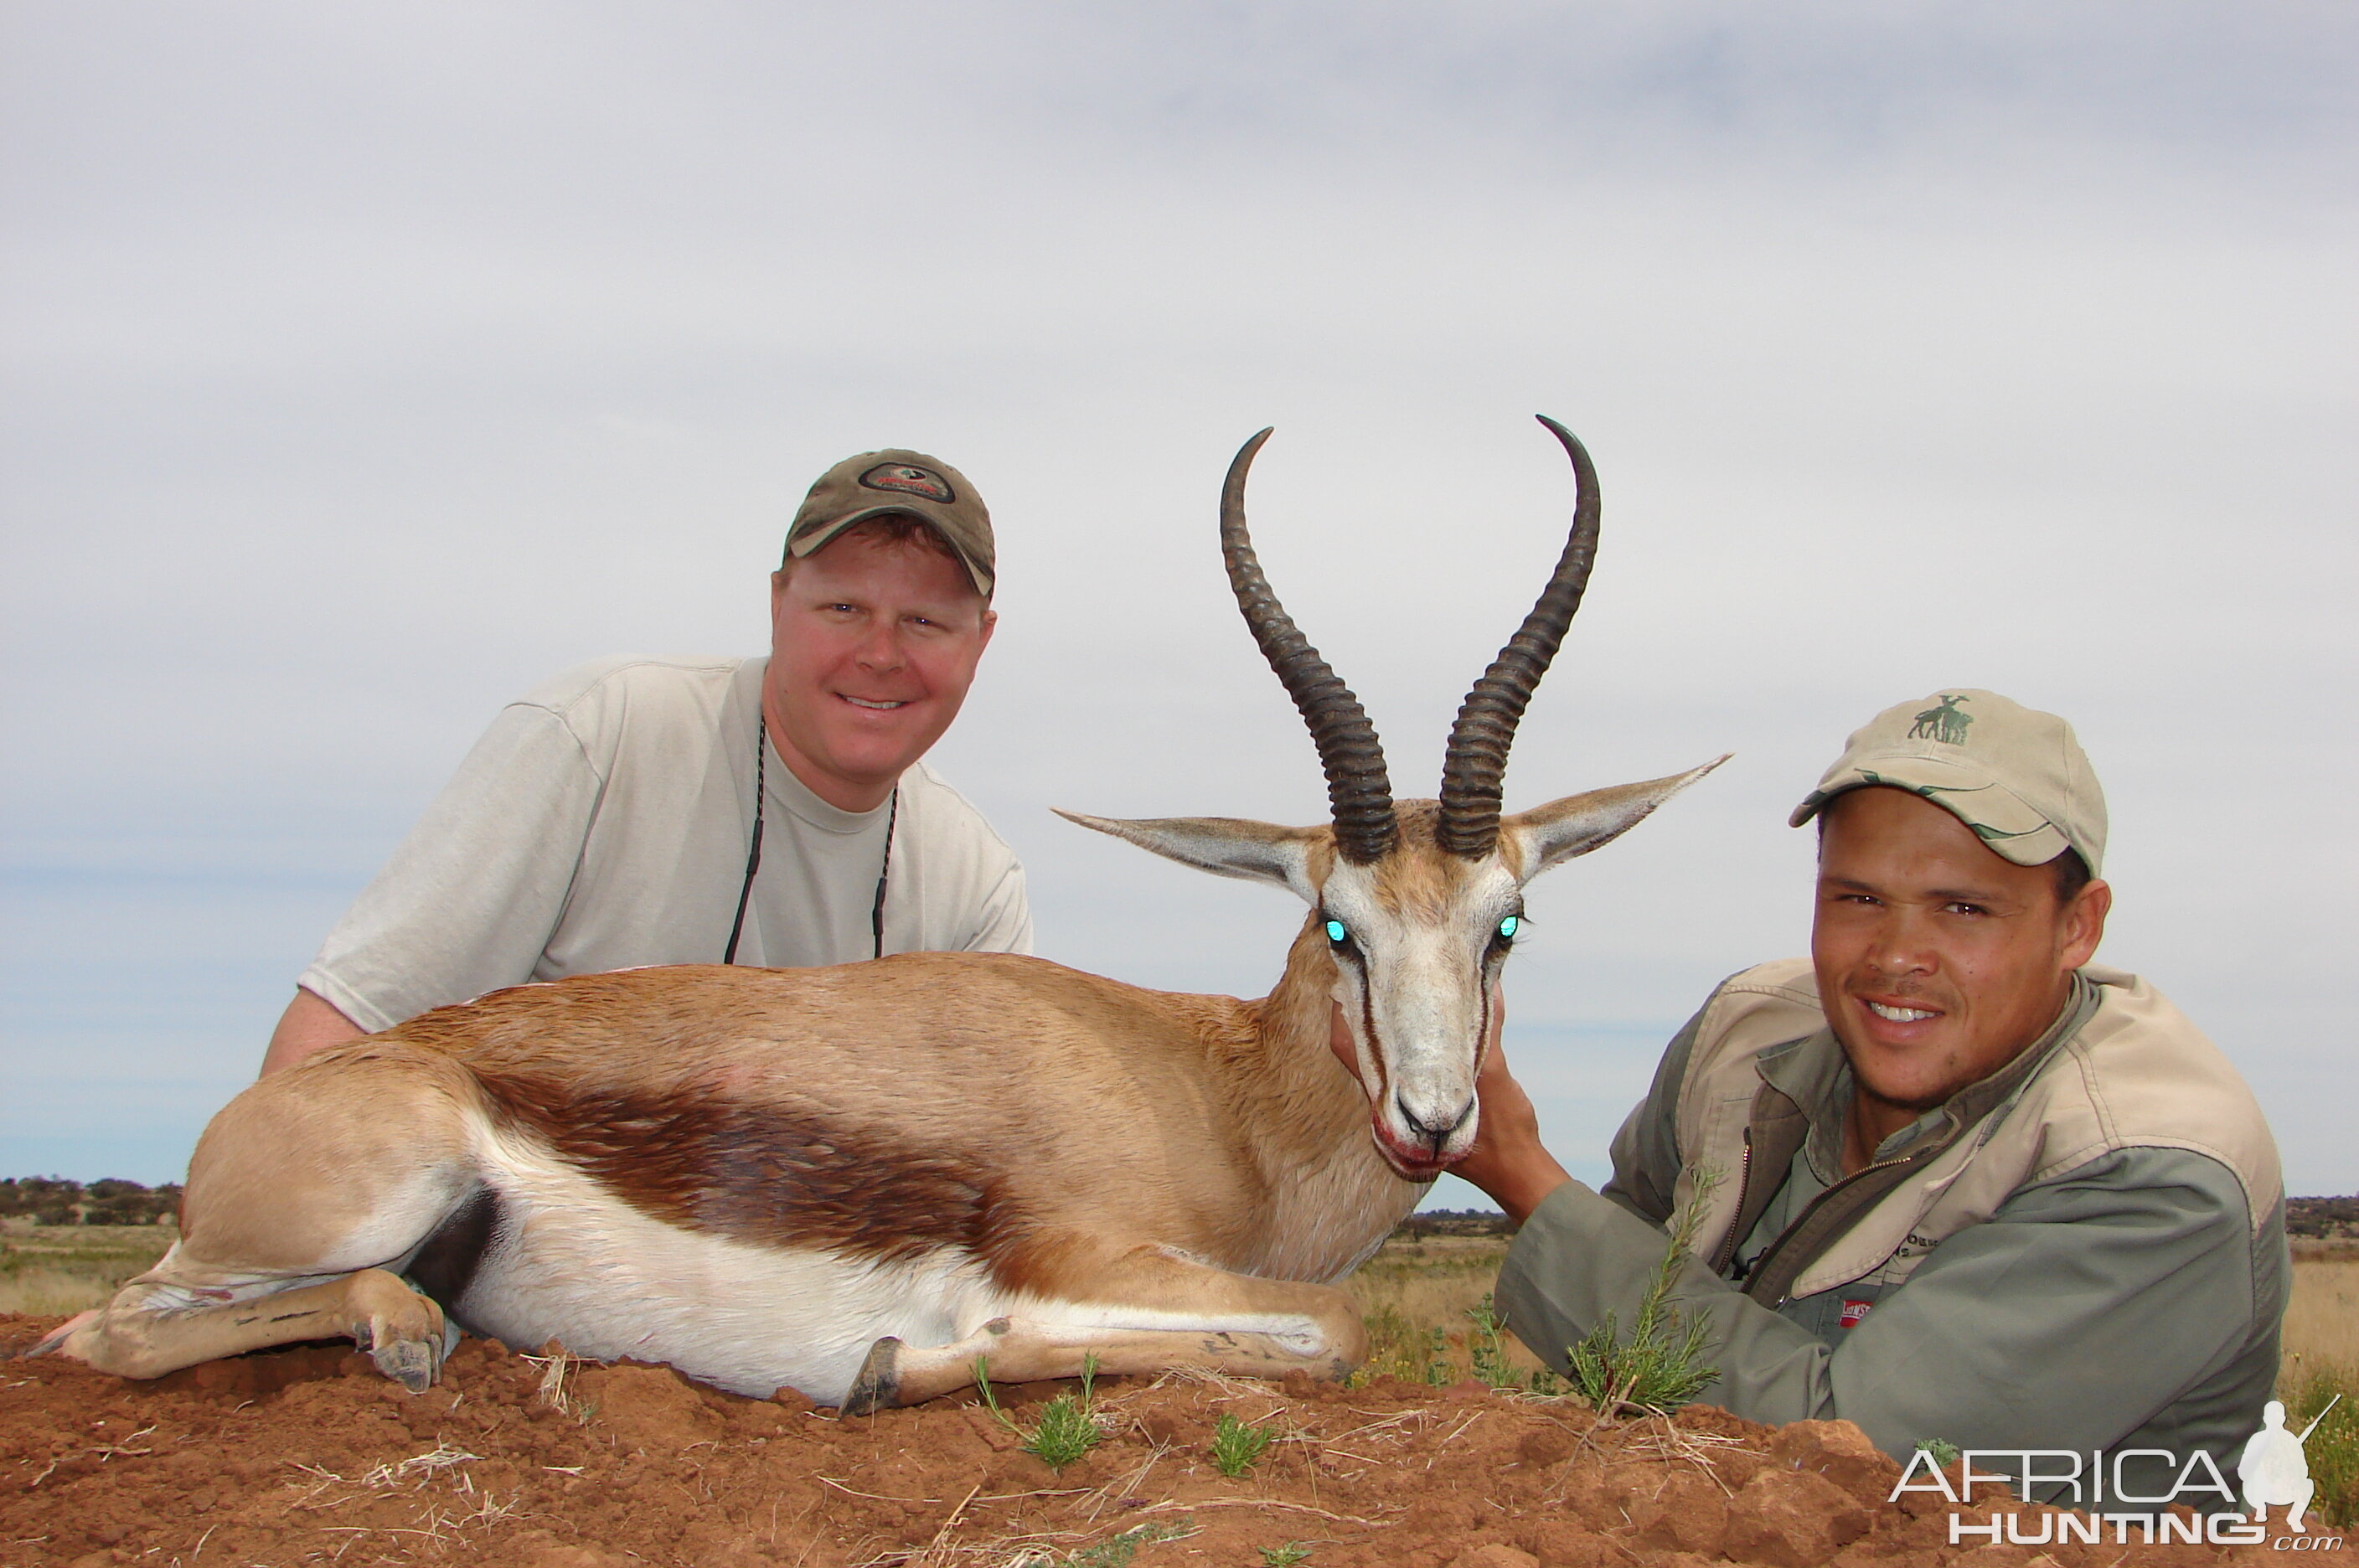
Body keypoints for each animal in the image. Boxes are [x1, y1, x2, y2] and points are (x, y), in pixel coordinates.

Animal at [37, 415, 1727, 1405]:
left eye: (1505, 922)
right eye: (1338, 928)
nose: (1437, 1122)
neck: (1211, 1097)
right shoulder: (1092, 1250)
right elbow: (1329, 1331)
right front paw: (915, 1349)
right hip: (350, 1200)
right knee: (104, 1328)